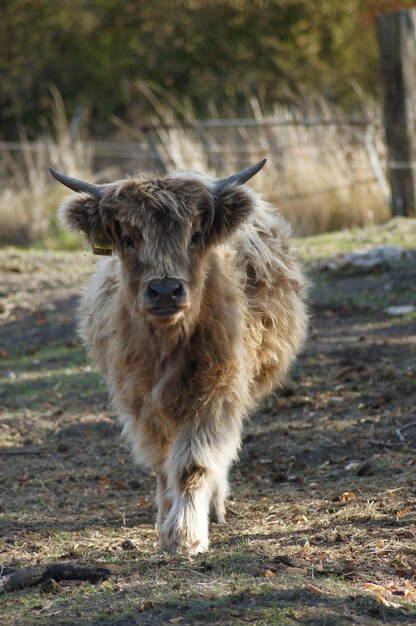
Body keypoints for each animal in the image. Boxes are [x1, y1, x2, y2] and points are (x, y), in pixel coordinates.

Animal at [50, 158, 308, 552]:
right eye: (128, 238)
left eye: (195, 236)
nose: (165, 290)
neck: (165, 345)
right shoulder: (140, 402)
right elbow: (161, 466)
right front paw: (164, 520)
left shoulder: (215, 393)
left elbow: (193, 464)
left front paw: (185, 534)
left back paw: (213, 507)